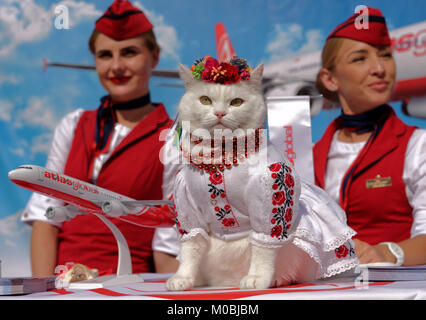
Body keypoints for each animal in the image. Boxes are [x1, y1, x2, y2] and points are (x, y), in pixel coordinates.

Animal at [165, 56, 358, 292]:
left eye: (236, 102)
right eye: (205, 100)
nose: (219, 113)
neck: (219, 161)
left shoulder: (269, 203)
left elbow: (262, 250)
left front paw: (258, 278)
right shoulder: (187, 211)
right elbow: (190, 250)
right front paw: (182, 278)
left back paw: (280, 279)